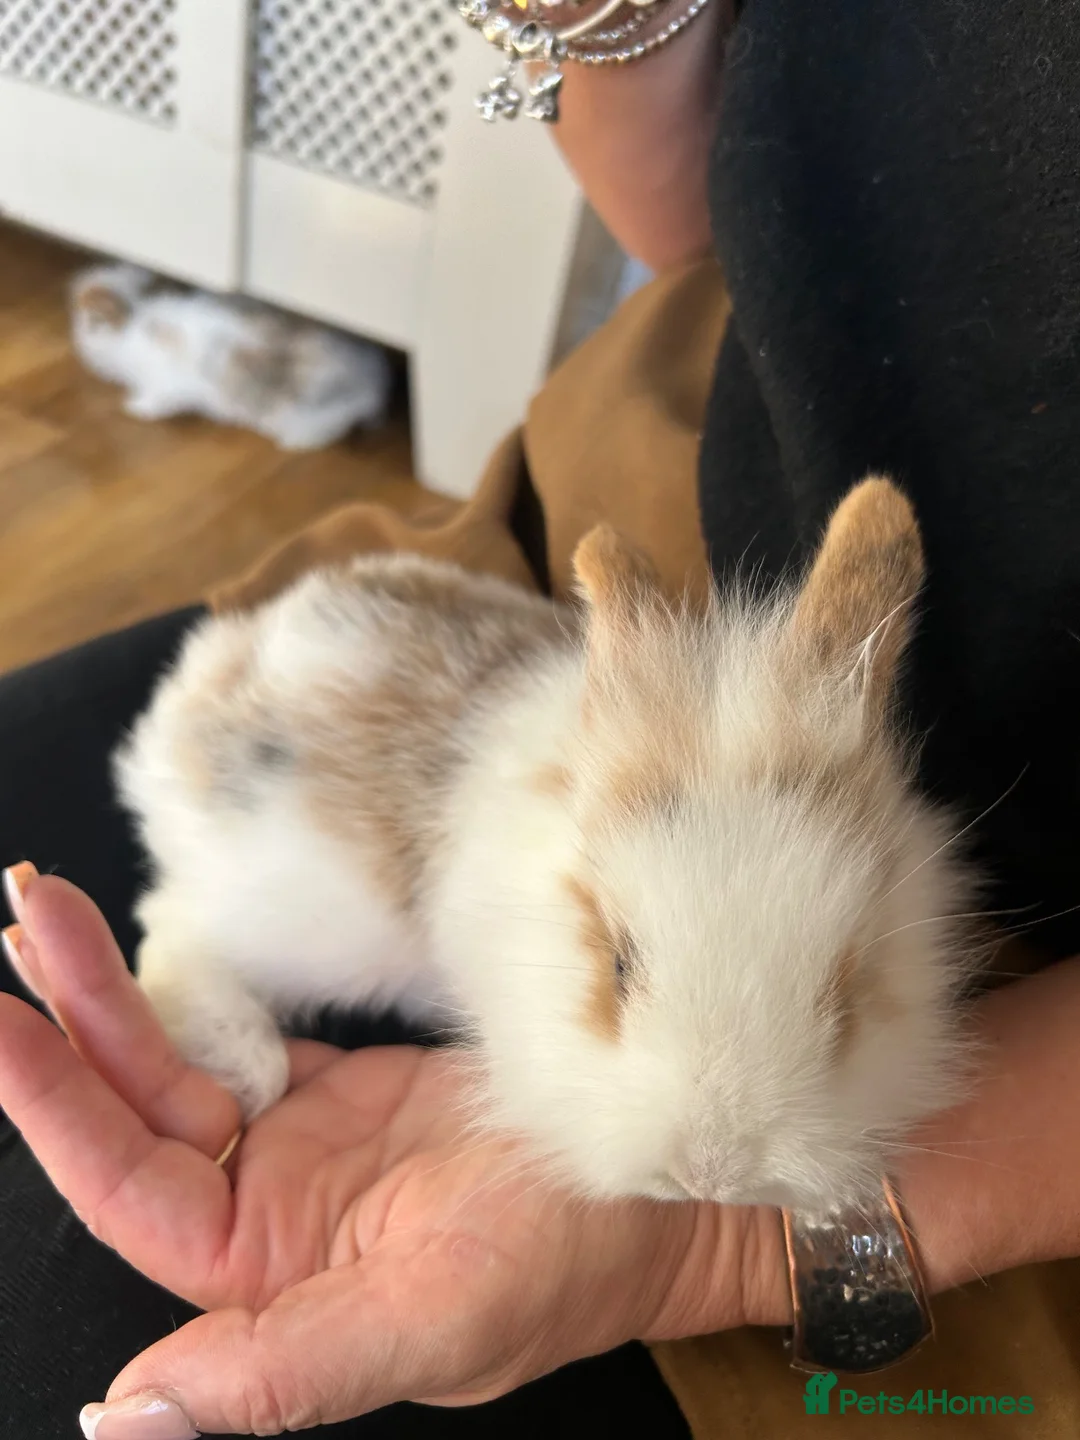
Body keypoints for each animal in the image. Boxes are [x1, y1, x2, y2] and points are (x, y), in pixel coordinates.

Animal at [70, 262, 391, 450]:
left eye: (90, 316)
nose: (79, 288)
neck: (135, 317)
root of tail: (373, 387)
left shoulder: (163, 380)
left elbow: (158, 398)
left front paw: (136, 408)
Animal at [114, 477, 977, 1215]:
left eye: (849, 989)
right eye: (620, 966)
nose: (709, 1175)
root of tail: (202, 685)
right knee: (168, 933)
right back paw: (248, 1066)